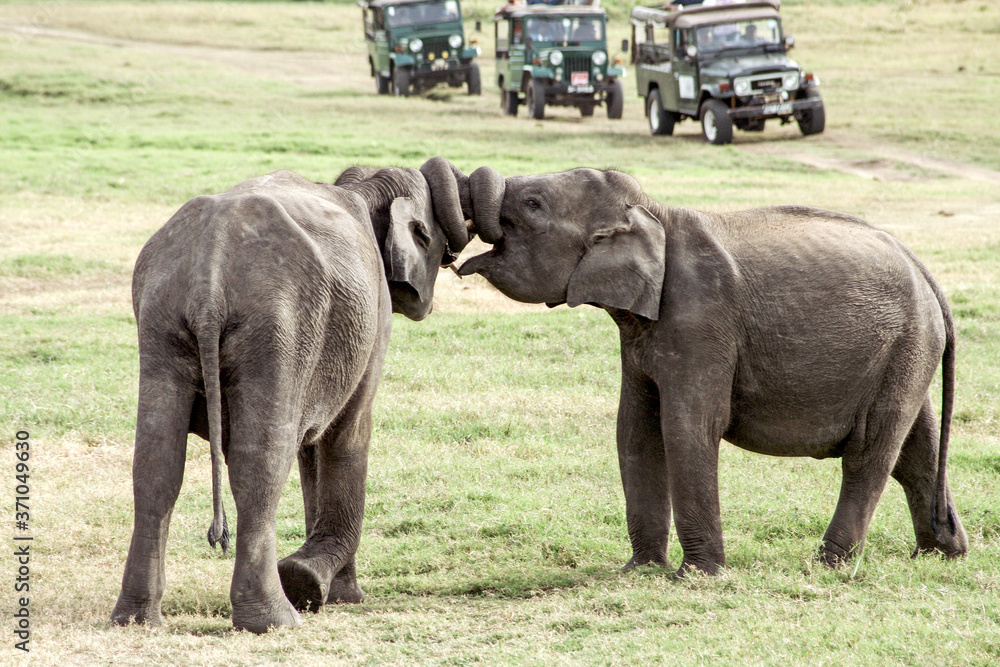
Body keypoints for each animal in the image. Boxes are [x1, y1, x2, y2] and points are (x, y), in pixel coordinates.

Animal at [111, 157, 471, 633]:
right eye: (442, 248)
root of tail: (209, 277)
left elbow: (310, 447)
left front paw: (323, 587)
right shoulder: (371, 323)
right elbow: (347, 433)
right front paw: (329, 591)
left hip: (162, 319)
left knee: (156, 465)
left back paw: (136, 620)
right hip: (279, 324)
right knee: (260, 463)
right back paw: (275, 620)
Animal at [457, 166, 969, 576]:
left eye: (532, 204)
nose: (458, 254)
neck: (653, 213)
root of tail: (928, 275)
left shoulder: (700, 322)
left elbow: (687, 427)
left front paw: (698, 577)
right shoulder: (642, 332)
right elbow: (635, 430)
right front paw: (639, 571)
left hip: (904, 346)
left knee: (870, 453)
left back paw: (828, 565)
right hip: (905, 354)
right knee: (916, 453)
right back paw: (942, 556)